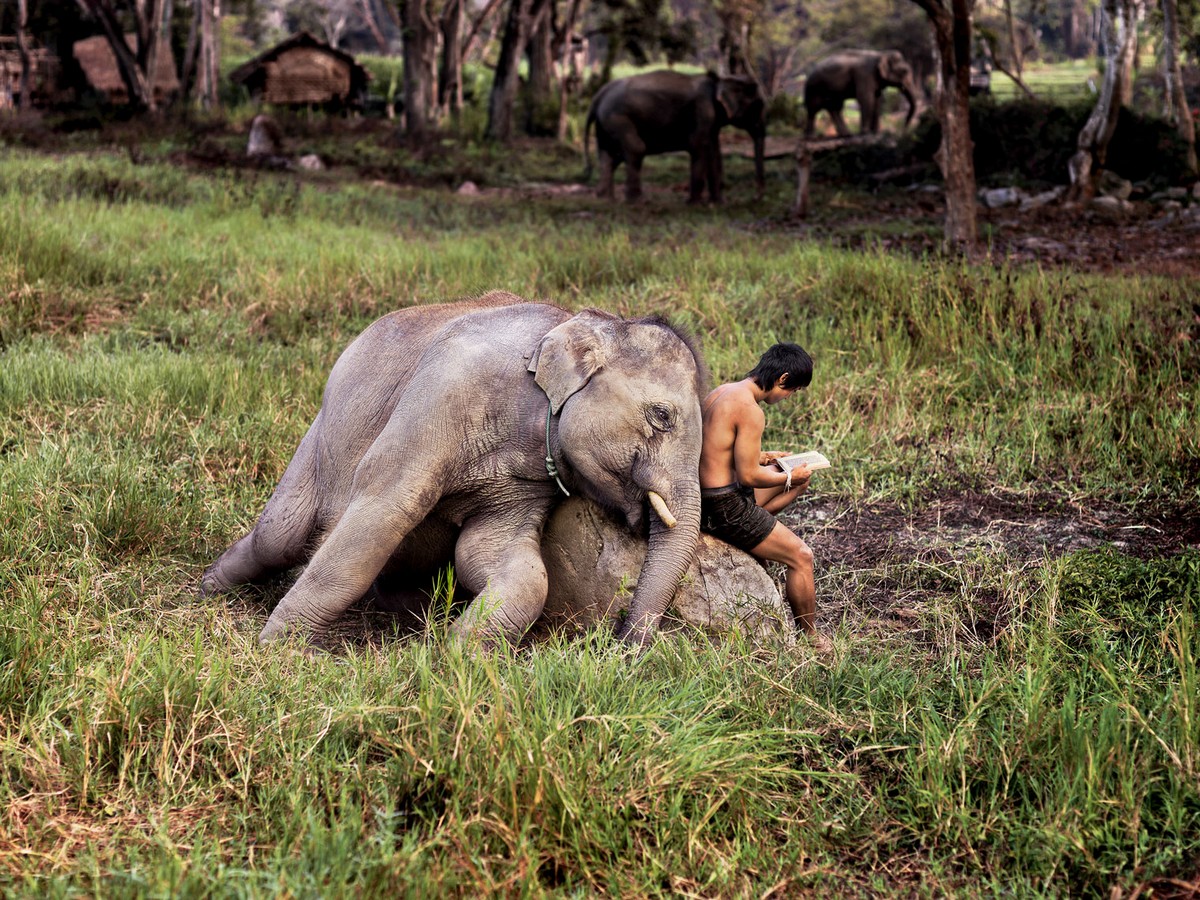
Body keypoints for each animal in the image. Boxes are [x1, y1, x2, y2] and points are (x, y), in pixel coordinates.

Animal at [204, 292, 710, 652]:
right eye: (662, 415)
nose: (622, 645)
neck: (567, 321)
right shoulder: (446, 390)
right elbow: (385, 509)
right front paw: (279, 650)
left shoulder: (527, 481)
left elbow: (504, 560)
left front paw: (457, 655)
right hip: (319, 438)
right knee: (281, 535)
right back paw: (211, 586)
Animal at [583, 70, 768, 204]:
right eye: (759, 105)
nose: (755, 198)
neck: (720, 79)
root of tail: (599, 95)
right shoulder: (703, 111)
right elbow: (698, 146)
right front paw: (695, 204)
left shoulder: (712, 120)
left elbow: (714, 152)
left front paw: (718, 203)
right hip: (618, 118)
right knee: (636, 149)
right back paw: (638, 201)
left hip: (605, 123)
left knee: (609, 156)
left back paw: (606, 199)